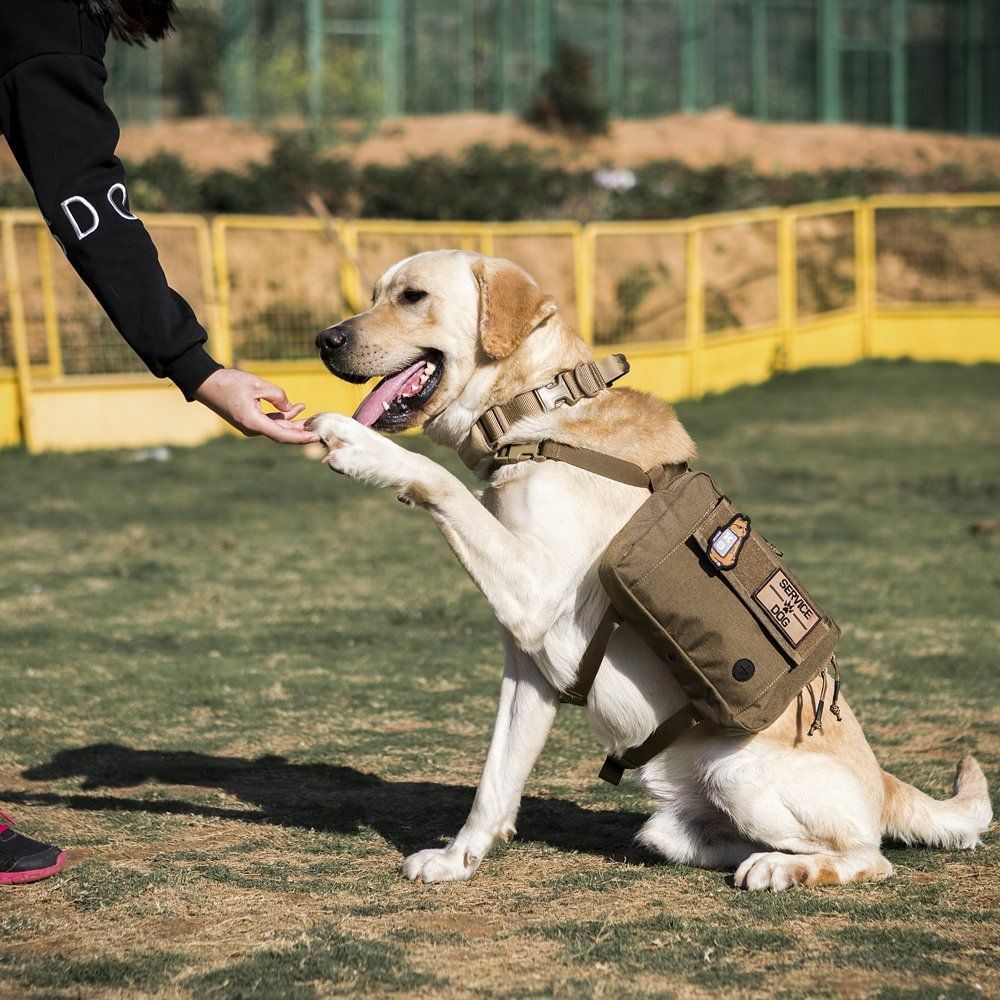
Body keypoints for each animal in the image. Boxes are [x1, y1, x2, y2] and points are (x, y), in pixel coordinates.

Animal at [306, 250, 992, 892]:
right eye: (374, 294)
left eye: (412, 296)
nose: (324, 340)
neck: (534, 410)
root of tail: (884, 779)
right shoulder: (527, 665)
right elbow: (495, 779)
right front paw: (458, 860)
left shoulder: (533, 592)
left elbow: (437, 480)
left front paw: (360, 447)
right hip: (673, 822)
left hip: (736, 773)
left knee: (868, 856)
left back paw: (782, 869)